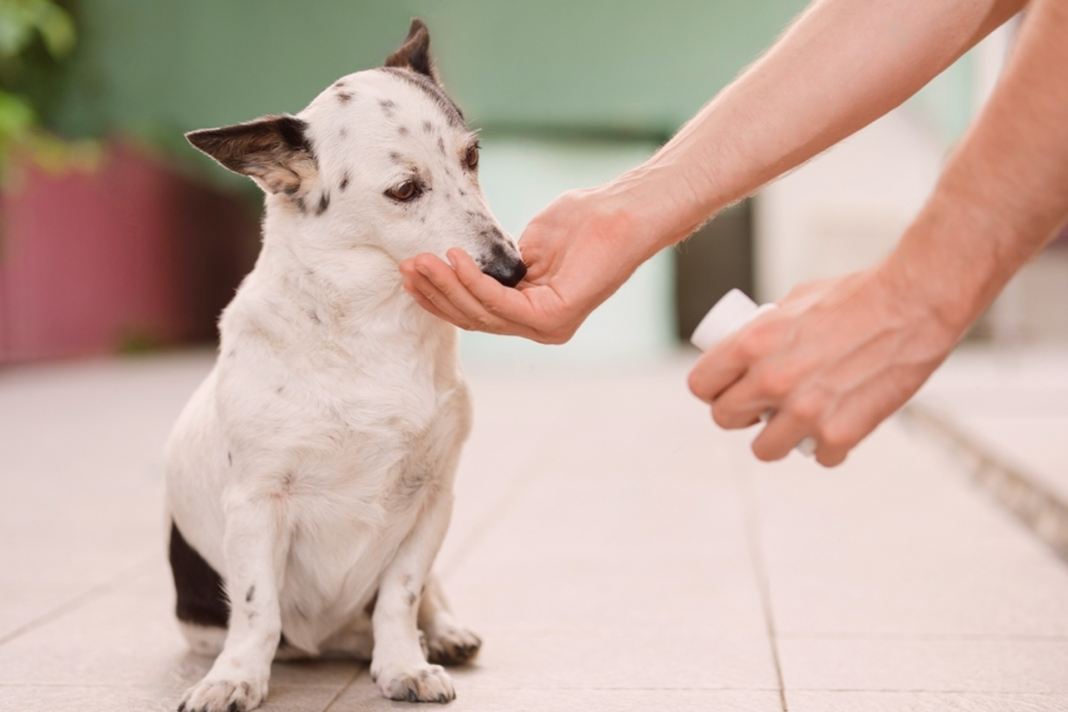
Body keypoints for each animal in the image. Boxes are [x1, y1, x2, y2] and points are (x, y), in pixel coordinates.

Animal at [162, 19, 525, 708]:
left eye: (472, 158)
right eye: (405, 190)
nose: (513, 271)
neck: (372, 330)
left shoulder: (431, 501)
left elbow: (401, 595)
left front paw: (404, 662)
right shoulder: (256, 506)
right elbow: (257, 611)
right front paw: (236, 677)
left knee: (423, 598)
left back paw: (441, 634)